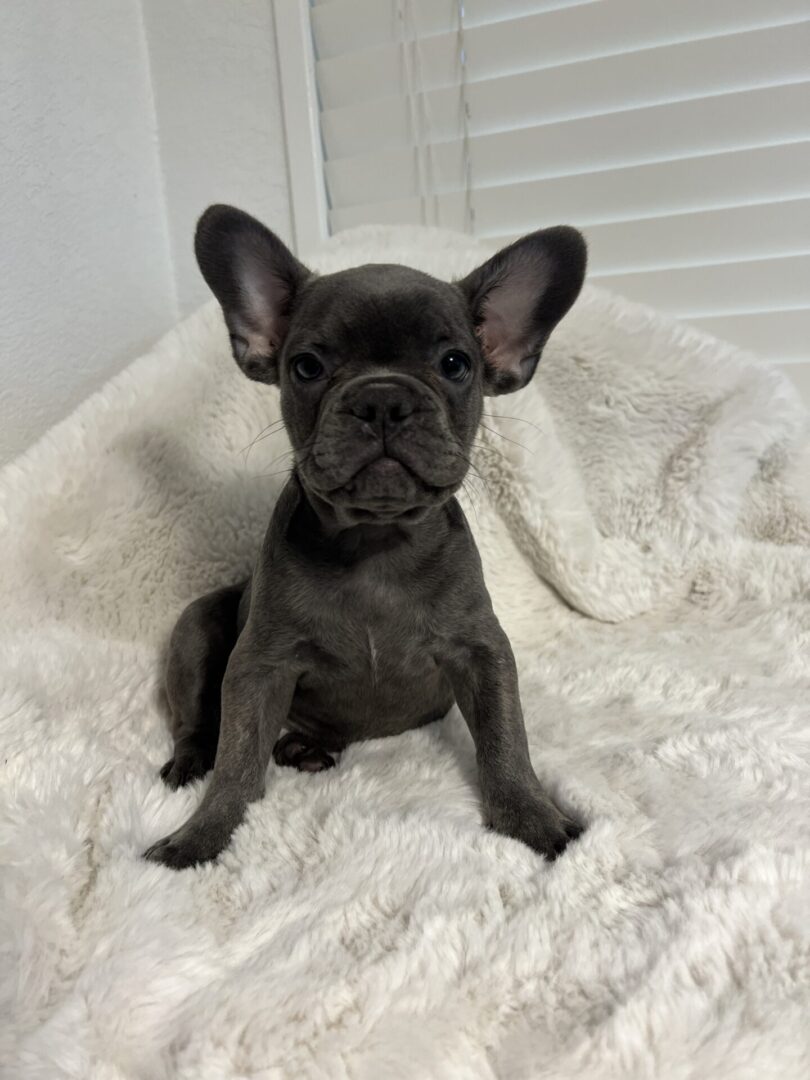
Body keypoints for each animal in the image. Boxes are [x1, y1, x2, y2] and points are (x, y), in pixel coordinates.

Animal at [145, 206, 587, 872]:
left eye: (455, 364)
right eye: (306, 367)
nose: (382, 398)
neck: (376, 544)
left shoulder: (481, 651)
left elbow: (505, 742)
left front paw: (534, 819)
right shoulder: (259, 665)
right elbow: (237, 759)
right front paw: (202, 836)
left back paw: (303, 749)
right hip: (196, 627)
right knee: (198, 719)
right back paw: (194, 762)